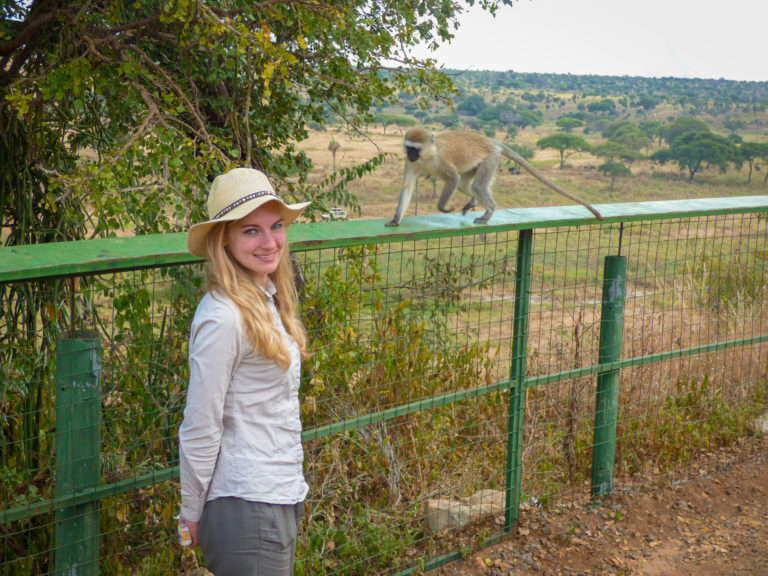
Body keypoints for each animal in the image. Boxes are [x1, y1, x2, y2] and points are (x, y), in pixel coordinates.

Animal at [388, 127, 604, 226]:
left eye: (416, 149)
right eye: (408, 148)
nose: (410, 155)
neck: (427, 155)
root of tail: (492, 142)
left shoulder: (441, 162)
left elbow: (453, 179)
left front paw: (443, 207)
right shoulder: (412, 165)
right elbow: (407, 188)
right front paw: (396, 219)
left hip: (491, 159)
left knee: (474, 186)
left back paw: (489, 211)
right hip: (481, 164)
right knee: (468, 185)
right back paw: (473, 202)